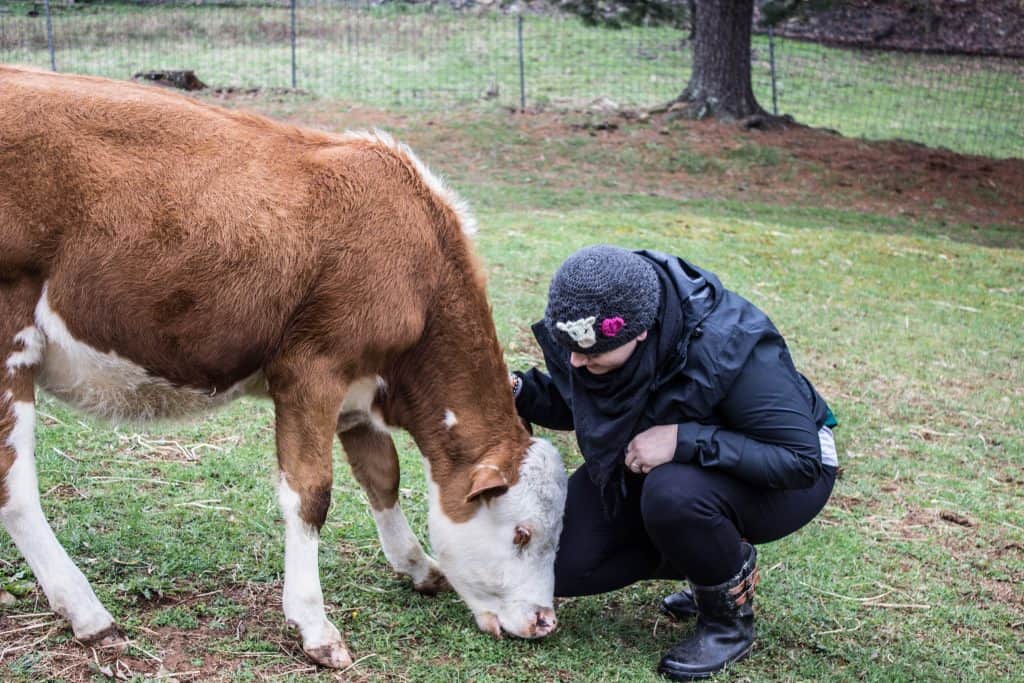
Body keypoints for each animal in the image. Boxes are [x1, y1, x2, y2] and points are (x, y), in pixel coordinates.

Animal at [0, 66, 569, 671]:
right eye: (522, 533)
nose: (543, 621)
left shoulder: (358, 392)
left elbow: (382, 475)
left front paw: (417, 566)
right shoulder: (311, 370)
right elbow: (311, 493)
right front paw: (315, 626)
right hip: (9, 339)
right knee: (15, 487)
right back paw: (89, 615)